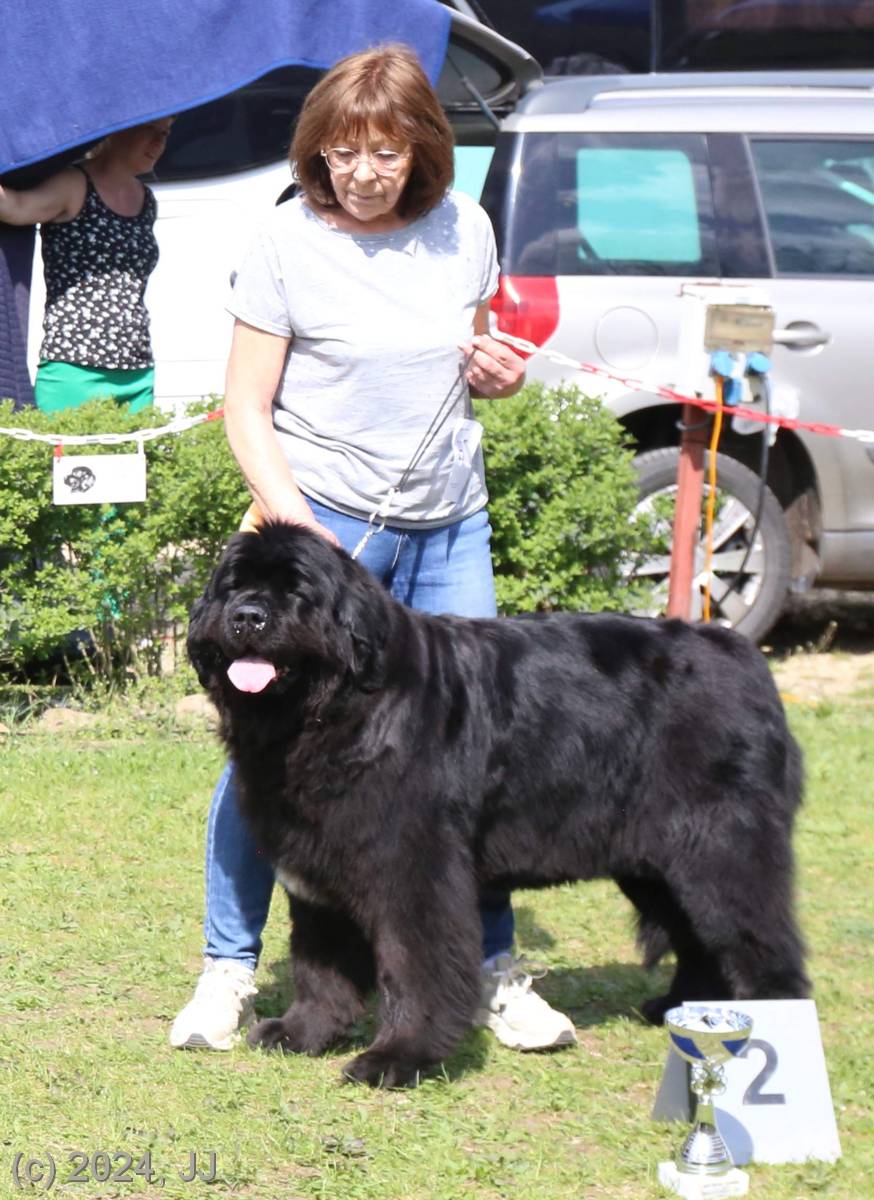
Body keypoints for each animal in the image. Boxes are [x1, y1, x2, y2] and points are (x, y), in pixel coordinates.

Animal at [188, 521, 809, 1087]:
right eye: (233, 586)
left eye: (297, 591)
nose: (247, 616)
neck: (335, 714)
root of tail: (747, 656)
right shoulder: (319, 870)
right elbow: (320, 964)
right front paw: (303, 1032)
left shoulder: (413, 870)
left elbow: (414, 966)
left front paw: (399, 1057)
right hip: (657, 861)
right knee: (696, 937)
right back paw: (682, 1012)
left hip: (719, 849)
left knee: (762, 944)